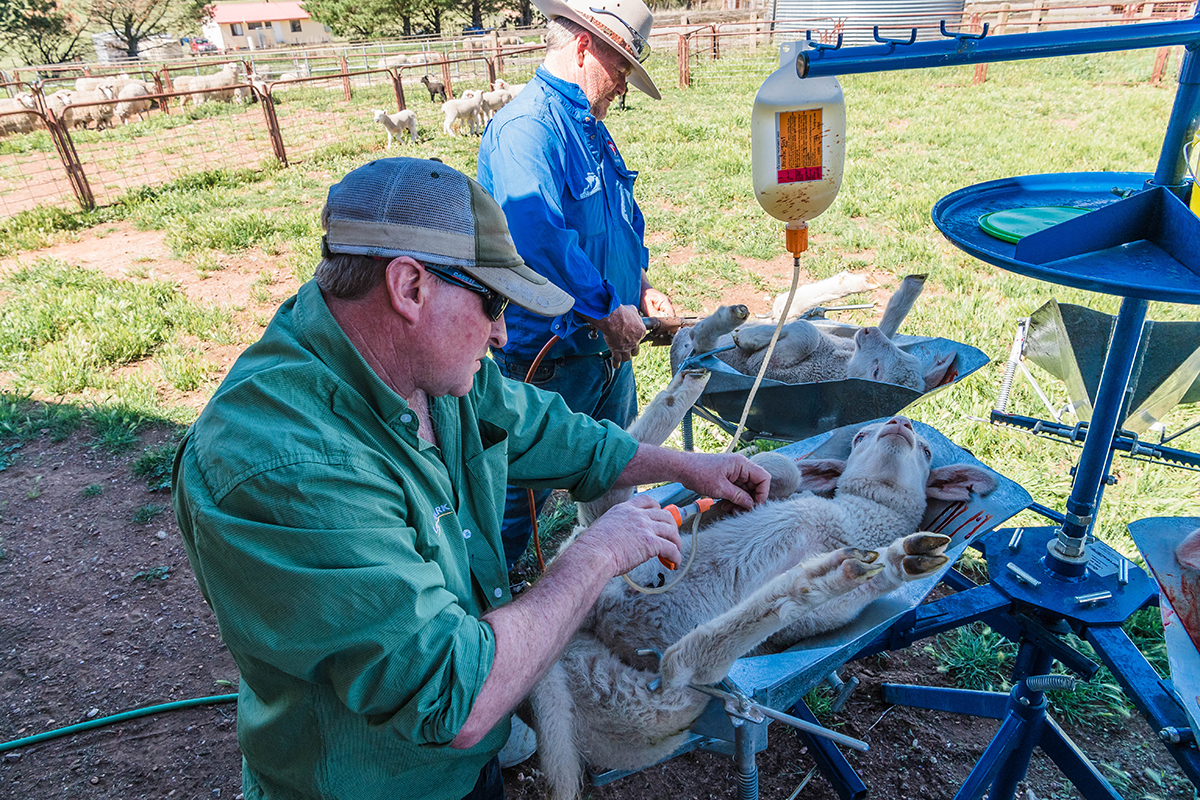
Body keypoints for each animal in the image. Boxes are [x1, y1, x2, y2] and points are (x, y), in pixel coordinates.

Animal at [530, 371, 998, 796]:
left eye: (927, 450)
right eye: (861, 436)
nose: (901, 424)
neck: (856, 520)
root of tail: (580, 637)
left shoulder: (835, 614)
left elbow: (862, 586)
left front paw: (891, 561)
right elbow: (784, 471)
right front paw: (741, 480)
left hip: (651, 706)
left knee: (683, 663)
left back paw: (843, 571)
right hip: (619, 611)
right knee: (604, 493)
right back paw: (683, 390)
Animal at [667, 273, 955, 393]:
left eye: (877, 372)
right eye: (912, 358)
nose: (867, 331)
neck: (841, 361)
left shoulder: (766, 367)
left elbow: (807, 334)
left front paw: (746, 339)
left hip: (699, 349)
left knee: (701, 337)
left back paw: (730, 320)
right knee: (786, 310)